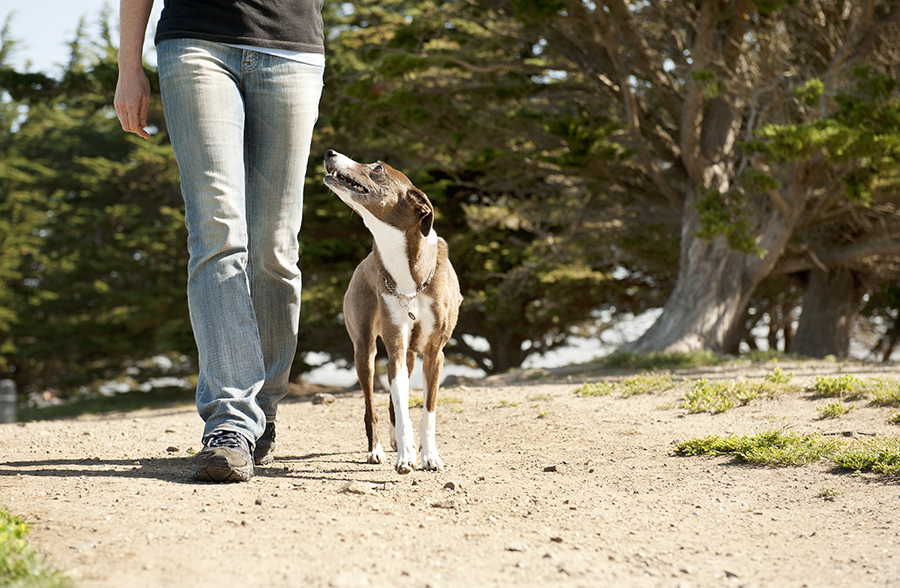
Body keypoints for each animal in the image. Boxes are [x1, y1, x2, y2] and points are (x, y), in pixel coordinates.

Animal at [322, 150, 460, 474]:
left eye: (378, 168)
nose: (330, 153)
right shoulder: (395, 345)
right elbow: (400, 405)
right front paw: (406, 458)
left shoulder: (435, 353)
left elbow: (427, 412)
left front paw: (429, 455)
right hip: (365, 351)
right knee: (371, 406)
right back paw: (377, 450)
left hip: (409, 357)